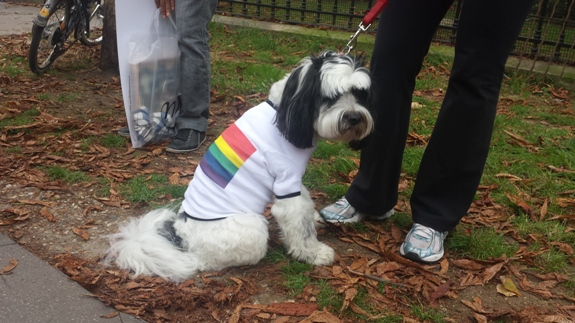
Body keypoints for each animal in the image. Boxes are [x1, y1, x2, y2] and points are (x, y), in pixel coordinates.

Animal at [103, 51, 374, 284]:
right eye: (332, 97)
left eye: (359, 94)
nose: (354, 117)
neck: (283, 111)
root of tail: (184, 238)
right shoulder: (286, 184)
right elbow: (299, 224)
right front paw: (313, 253)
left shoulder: (293, 183)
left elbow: (305, 208)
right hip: (252, 229)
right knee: (206, 262)